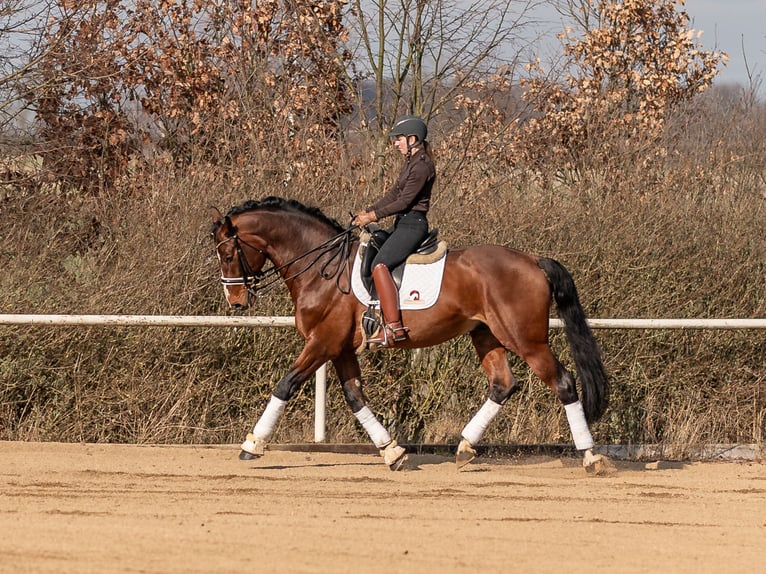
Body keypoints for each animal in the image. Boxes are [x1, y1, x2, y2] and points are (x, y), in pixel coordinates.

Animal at [212, 196, 612, 474]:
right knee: (503, 384)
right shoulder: (341, 348)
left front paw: (252, 445)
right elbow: (355, 397)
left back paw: (590, 457)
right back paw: (465, 448)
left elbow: (286, 385)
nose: (236, 300)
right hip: (486, 335)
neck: (323, 270)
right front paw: (392, 452)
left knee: (563, 383)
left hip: (526, 340)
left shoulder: (322, 342)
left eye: (228, 253)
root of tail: (532, 261)